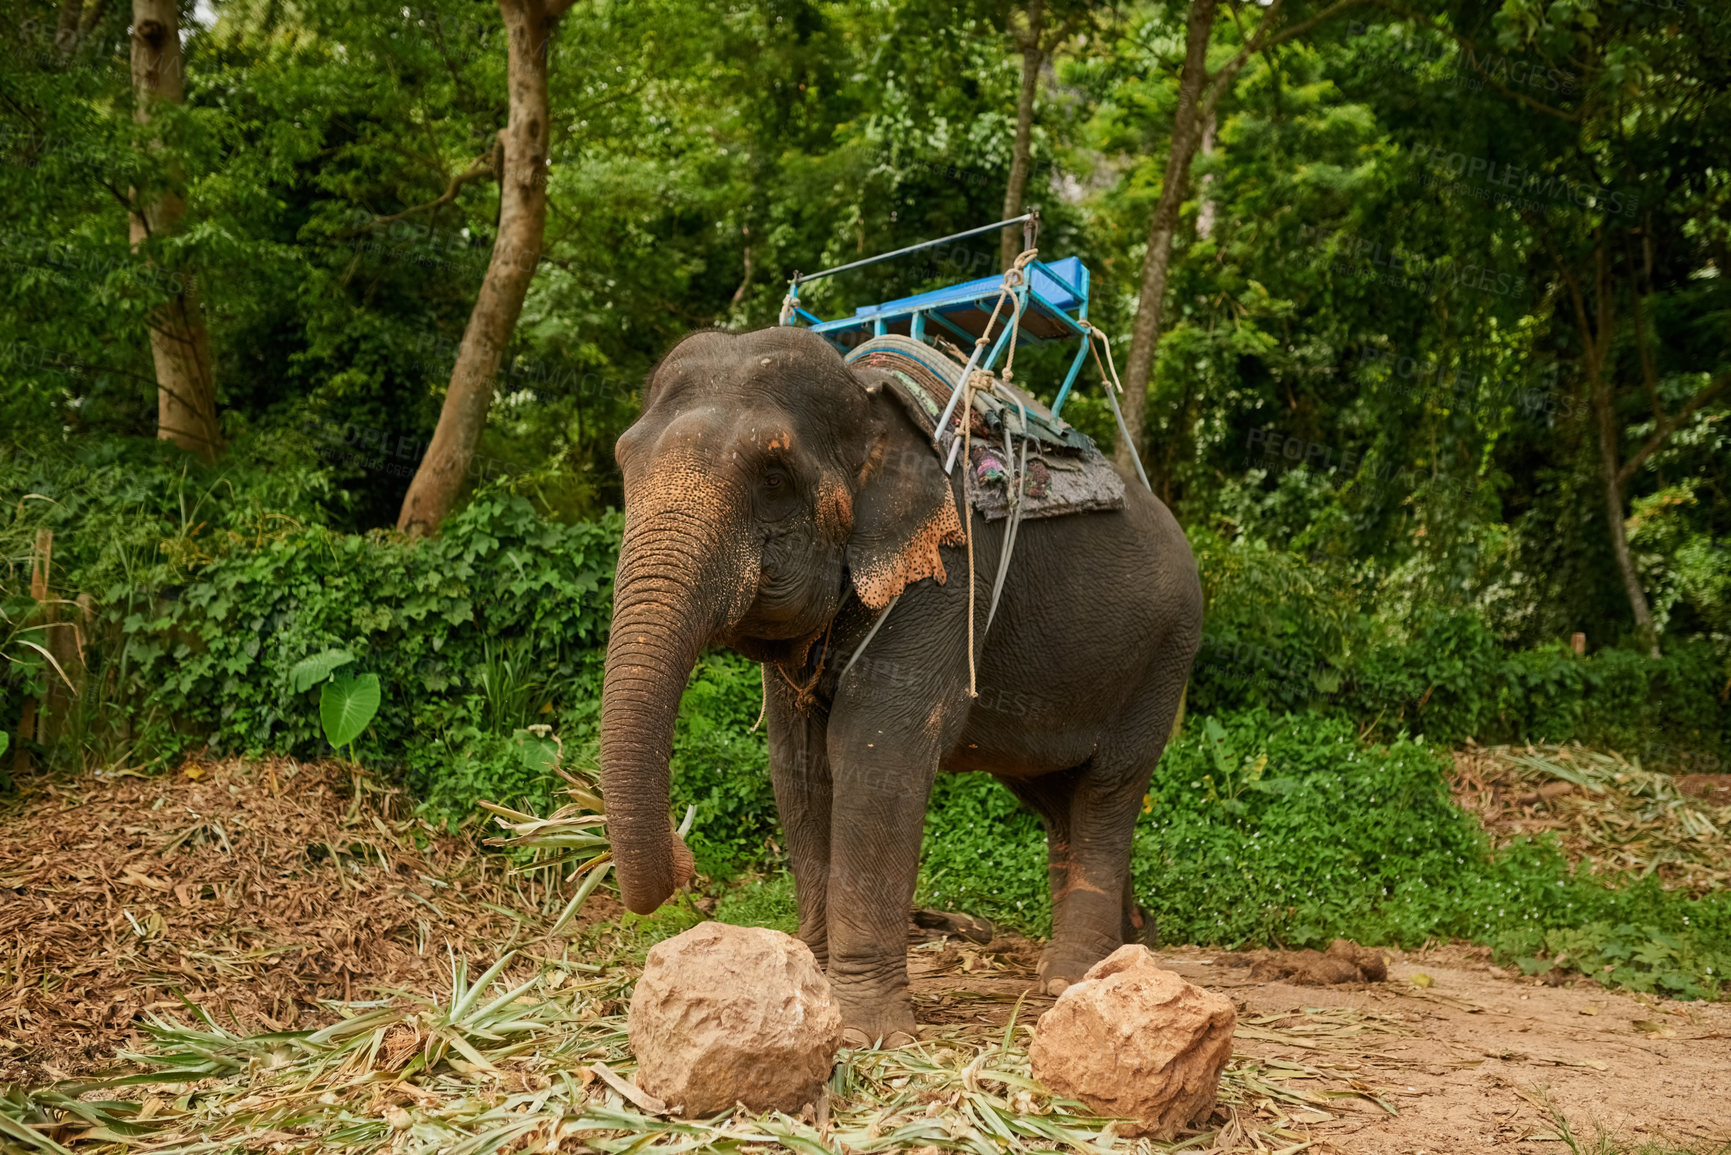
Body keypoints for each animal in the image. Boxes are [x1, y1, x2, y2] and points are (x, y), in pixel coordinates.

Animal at [602, 327, 1197, 1045]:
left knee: (1108, 789)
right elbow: (797, 761)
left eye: (773, 476)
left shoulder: (948, 576)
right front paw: (813, 993)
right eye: (624, 462)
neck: (867, 403)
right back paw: (1124, 947)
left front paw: (867, 1032)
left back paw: (1071, 979)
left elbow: (877, 748)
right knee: (1057, 799)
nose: (685, 858)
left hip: (1163, 656)